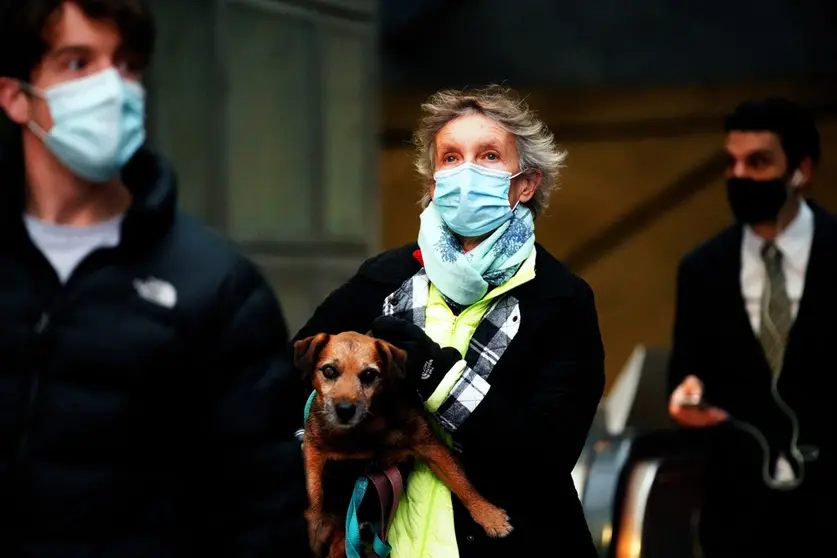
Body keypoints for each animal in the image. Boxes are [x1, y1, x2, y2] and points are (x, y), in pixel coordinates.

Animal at [298, 332, 512, 558]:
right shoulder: (314, 446)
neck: (367, 427)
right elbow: (314, 490)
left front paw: (489, 515)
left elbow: (459, 481)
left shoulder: (430, 446)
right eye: (328, 371)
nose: (345, 409)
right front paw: (314, 524)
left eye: (369, 374)